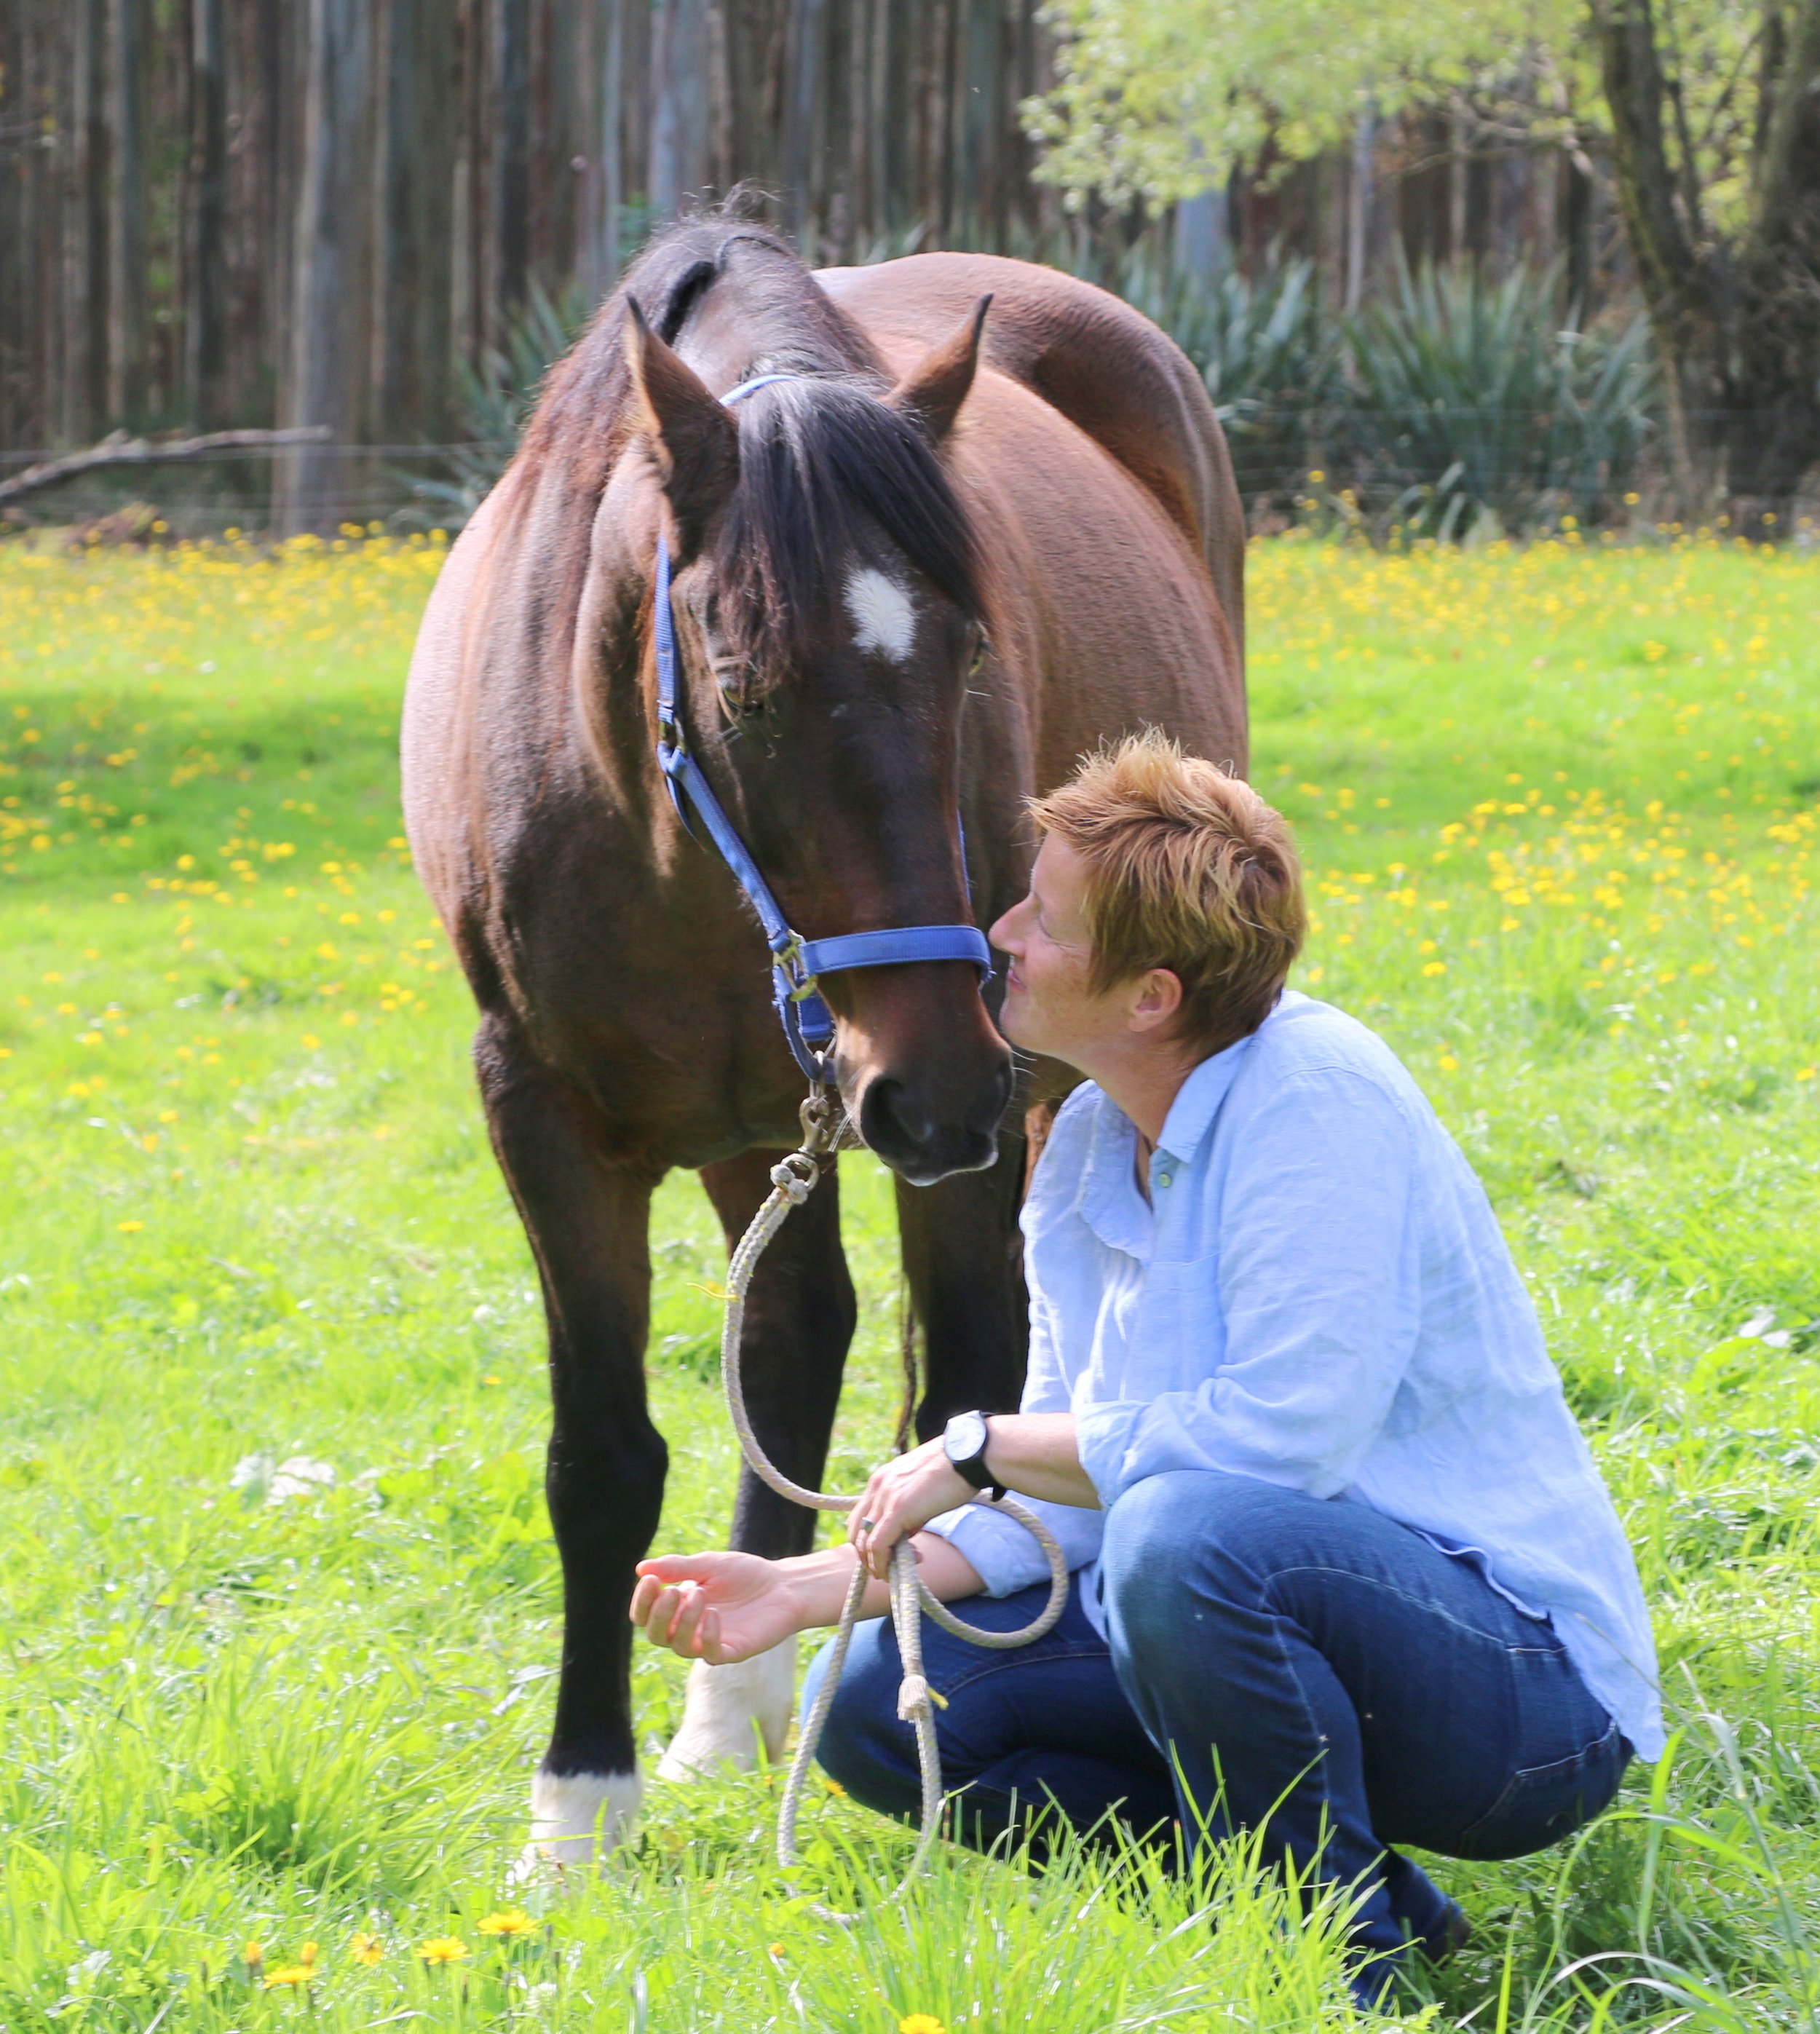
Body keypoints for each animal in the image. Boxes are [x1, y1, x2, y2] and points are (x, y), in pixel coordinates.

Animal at [400, 214, 1246, 1866]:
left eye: (969, 656)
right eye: (745, 683)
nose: (934, 1089)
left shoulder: (961, 1098)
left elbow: (956, 1407)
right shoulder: (542, 1107)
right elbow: (603, 1455)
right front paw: (579, 1810)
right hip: (770, 1123)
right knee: (792, 1339)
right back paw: (728, 1719)